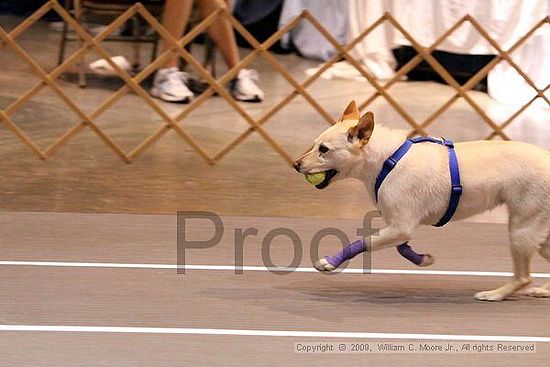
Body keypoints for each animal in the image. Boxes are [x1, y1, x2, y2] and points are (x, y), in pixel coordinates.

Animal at [296, 101, 550, 302]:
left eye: (324, 150)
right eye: (314, 144)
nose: (295, 164)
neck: (388, 160)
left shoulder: (400, 226)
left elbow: (363, 242)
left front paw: (330, 262)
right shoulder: (400, 226)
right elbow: (401, 247)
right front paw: (423, 260)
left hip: (520, 232)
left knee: (523, 277)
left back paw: (495, 294)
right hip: (538, 236)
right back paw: (542, 291)